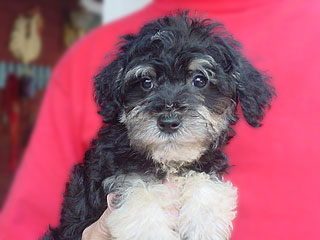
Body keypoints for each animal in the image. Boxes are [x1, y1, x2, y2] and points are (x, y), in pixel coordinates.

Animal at [41, 11, 274, 240]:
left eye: (200, 80)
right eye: (146, 82)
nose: (168, 122)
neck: (168, 161)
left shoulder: (203, 168)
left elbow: (205, 188)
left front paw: (203, 225)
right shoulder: (124, 179)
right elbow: (142, 207)